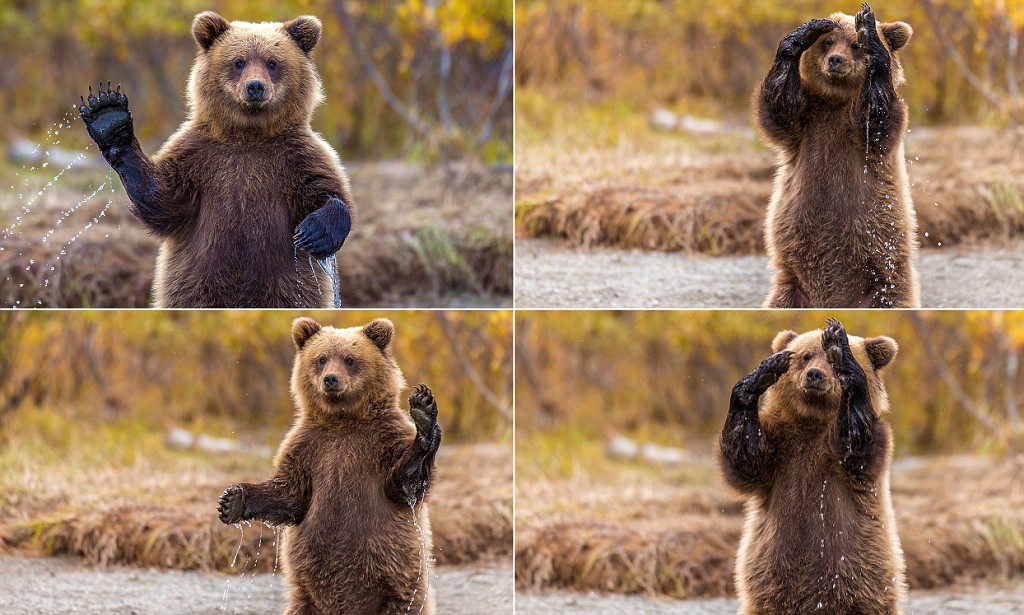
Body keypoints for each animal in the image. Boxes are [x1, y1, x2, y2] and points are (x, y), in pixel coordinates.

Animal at [77, 14, 354, 309]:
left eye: (272, 62)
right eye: (238, 61)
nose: (255, 87)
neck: (248, 134)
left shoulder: (297, 157)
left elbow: (326, 191)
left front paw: (315, 232)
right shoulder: (197, 157)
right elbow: (164, 200)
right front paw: (108, 117)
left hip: (288, 287)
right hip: (195, 286)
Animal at [216, 319, 440, 609]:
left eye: (349, 359)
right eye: (321, 358)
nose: (331, 379)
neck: (342, 419)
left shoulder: (382, 441)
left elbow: (404, 485)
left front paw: (423, 413)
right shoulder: (308, 448)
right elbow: (290, 494)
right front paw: (231, 501)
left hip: (400, 591)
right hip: (305, 599)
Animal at [720, 319, 905, 609]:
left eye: (828, 361)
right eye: (805, 356)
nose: (815, 375)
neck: (812, 421)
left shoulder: (863, 451)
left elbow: (856, 445)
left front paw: (841, 349)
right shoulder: (780, 447)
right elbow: (745, 458)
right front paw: (762, 373)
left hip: (864, 582)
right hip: (769, 587)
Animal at [761, 4, 921, 306]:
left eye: (855, 45)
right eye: (828, 42)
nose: (836, 60)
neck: (835, 101)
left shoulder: (868, 136)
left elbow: (876, 116)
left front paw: (871, 32)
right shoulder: (806, 125)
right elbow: (779, 108)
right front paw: (803, 33)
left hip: (883, 289)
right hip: (791, 289)